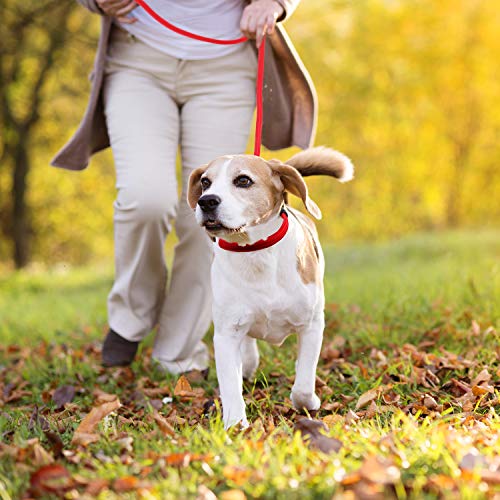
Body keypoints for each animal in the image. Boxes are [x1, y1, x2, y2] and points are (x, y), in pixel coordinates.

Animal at [188, 146, 356, 428]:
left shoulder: (312, 325)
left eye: (243, 180)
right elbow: (230, 384)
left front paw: (309, 403)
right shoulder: (225, 334)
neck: (255, 252)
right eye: (205, 182)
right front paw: (236, 425)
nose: (207, 201)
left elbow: (303, 384)